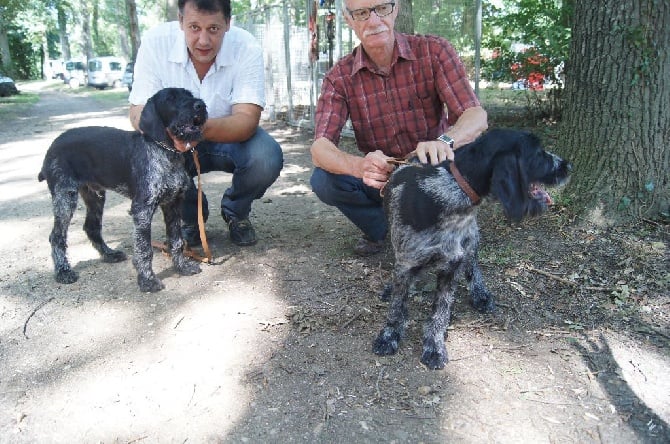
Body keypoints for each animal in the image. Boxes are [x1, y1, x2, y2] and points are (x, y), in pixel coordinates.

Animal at [39, 88, 207, 294]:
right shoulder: (142, 210)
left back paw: (109, 254)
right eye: (171, 98)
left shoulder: (172, 205)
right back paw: (63, 271)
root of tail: (52, 146)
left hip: (95, 196)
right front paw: (147, 281)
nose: (200, 105)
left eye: (189, 94)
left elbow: (176, 242)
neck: (166, 151)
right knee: (56, 236)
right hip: (65, 197)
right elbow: (144, 249)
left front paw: (182, 267)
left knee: (91, 227)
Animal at [372, 127, 572, 368]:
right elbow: (397, 306)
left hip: (471, 240)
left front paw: (435, 346)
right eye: (538, 153)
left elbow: (440, 311)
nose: (568, 166)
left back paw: (479, 293)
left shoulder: (450, 268)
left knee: (472, 266)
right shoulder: (407, 262)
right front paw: (389, 336)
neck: (454, 189)